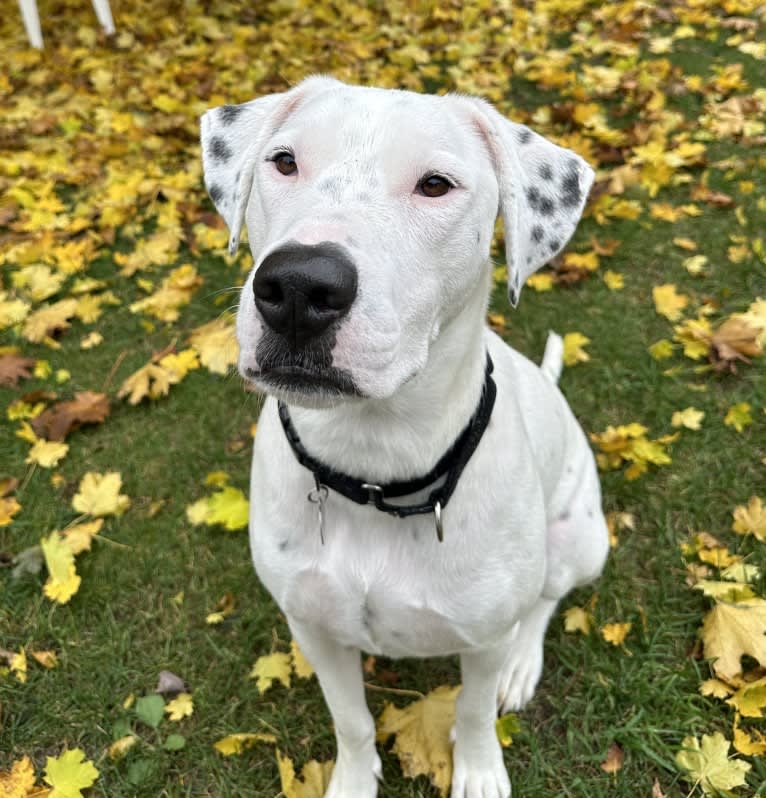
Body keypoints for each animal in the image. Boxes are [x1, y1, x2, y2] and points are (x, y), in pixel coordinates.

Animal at [201, 76, 608, 798]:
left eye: (435, 184)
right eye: (284, 161)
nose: (299, 286)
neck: (372, 465)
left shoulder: (482, 637)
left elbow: (473, 710)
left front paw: (478, 770)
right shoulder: (313, 627)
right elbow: (352, 722)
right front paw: (353, 780)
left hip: (583, 541)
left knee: (545, 599)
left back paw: (522, 663)